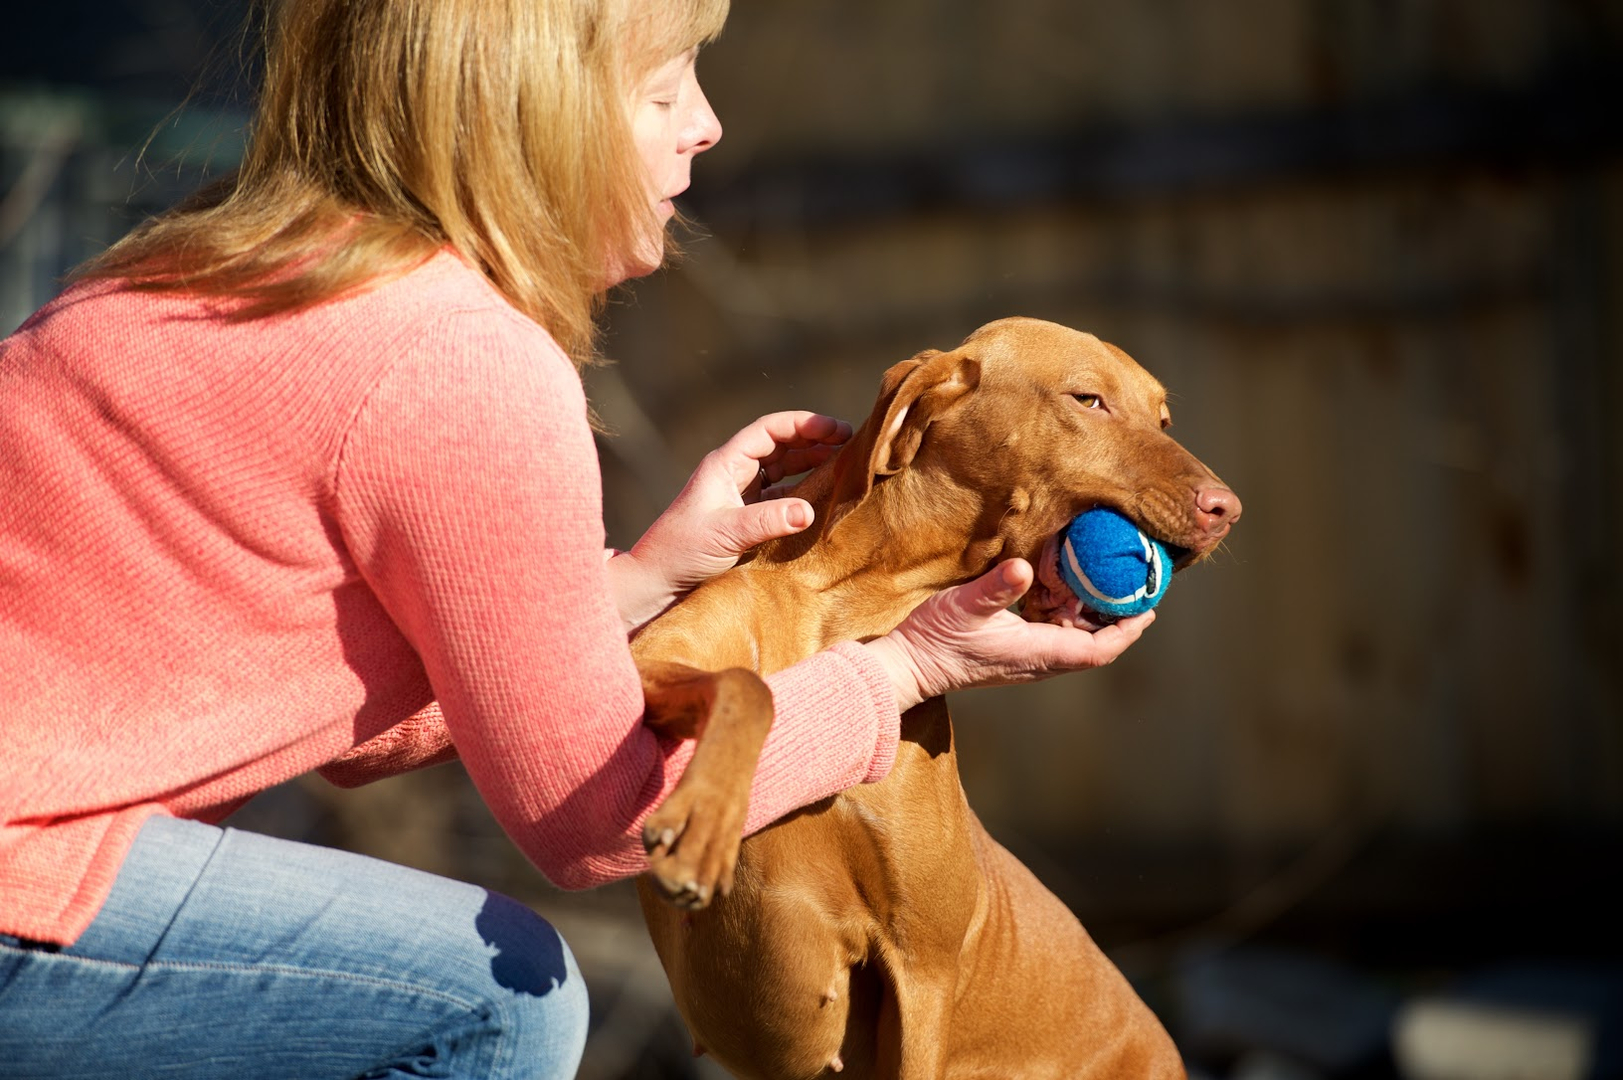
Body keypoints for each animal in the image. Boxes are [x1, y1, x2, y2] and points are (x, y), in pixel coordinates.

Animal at [626, 319, 1233, 1078]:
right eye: (1088, 400)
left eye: (1162, 421)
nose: (1228, 510)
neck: (846, 605)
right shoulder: (640, 665)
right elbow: (748, 687)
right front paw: (702, 825)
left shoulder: (922, 974)